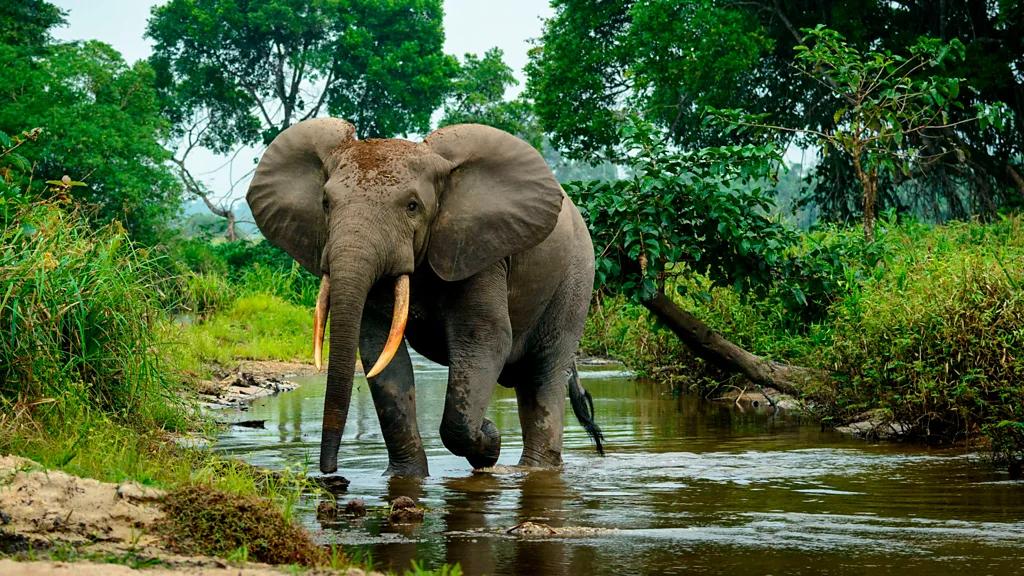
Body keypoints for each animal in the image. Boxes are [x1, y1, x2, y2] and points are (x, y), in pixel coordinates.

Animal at [246, 118, 604, 477]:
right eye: (325, 204)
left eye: (412, 207)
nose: (330, 471)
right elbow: (380, 351)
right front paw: (405, 477)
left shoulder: (480, 251)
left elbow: (485, 338)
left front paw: (489, 441)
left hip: (576, 279)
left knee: (544, 371)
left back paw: (534, 471)